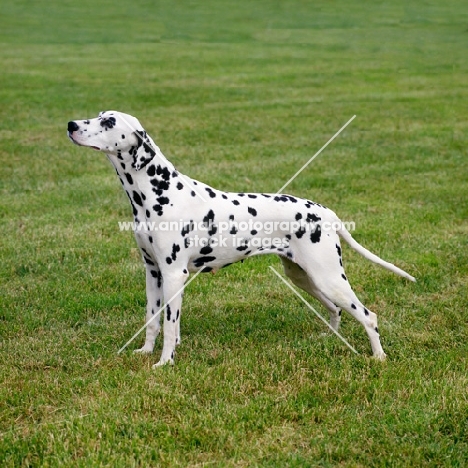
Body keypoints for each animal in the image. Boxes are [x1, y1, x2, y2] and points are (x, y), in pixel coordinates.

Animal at [67, 111, 414, 368]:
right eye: (98, 115)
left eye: (108, 122)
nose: (71, 125)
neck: (156, 191)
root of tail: (325, 212)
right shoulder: (153, 272)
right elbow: (153, 321)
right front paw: (145, 352)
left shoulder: (174, 274)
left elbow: (169, 325)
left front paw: (165, 363)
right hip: (304, 277)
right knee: (336, 310)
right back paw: (329, 340)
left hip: (328, 277)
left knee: (368, 316)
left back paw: (379, 357)